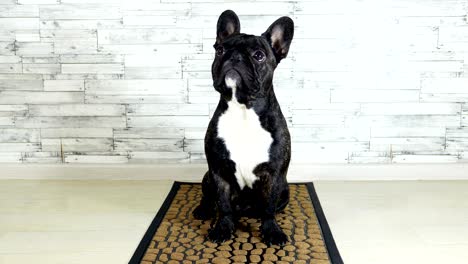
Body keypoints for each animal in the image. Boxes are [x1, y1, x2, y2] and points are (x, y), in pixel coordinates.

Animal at [192, 9, 294, 245]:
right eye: (220, 50)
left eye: (258, 55)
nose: (234, 57)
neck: (243, 109)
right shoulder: (218, 171)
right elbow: (223, 204)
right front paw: (223, 228)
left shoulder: (275, 175)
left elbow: (269, 208)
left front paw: (272, 231)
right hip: (207, 177)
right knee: (208, 197)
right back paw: (203, 210)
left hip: (285, 188)